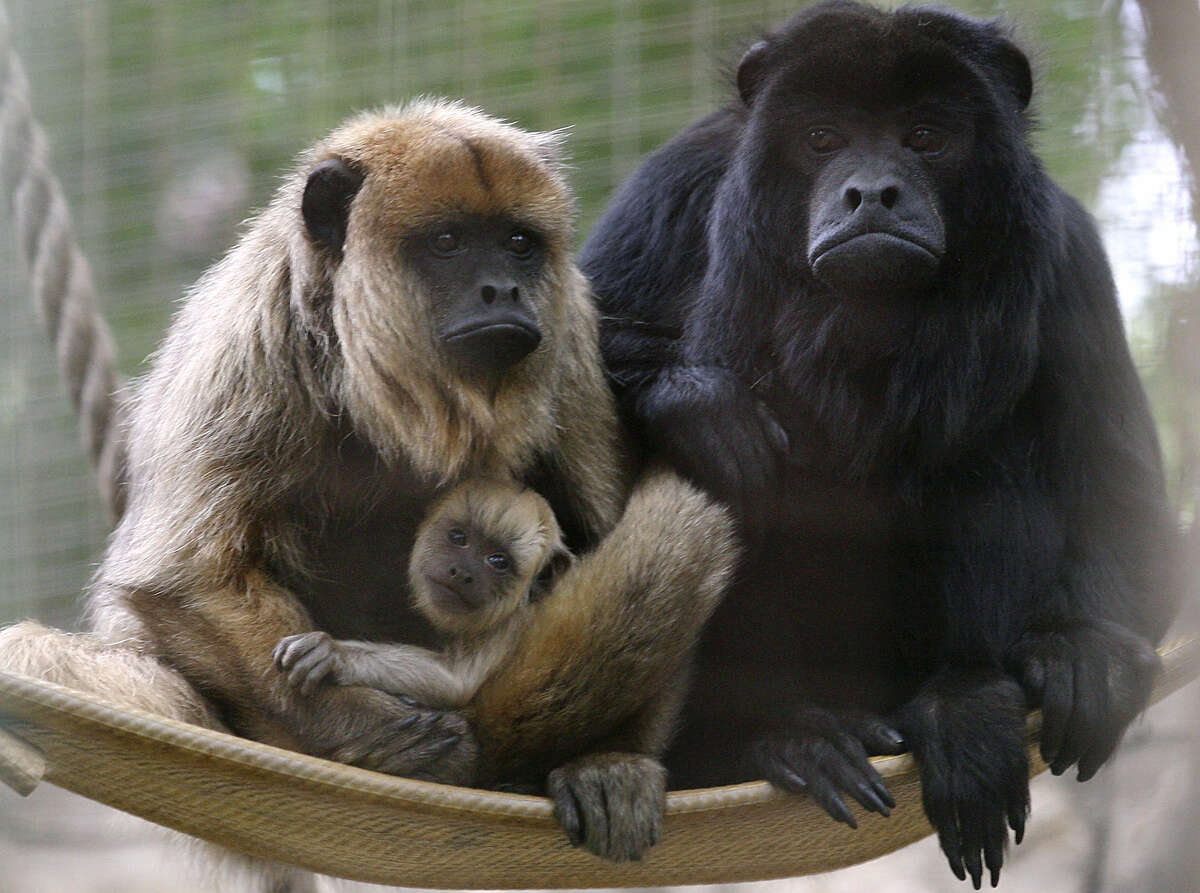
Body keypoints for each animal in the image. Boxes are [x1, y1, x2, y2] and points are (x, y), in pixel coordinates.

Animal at [274, 477, 571, 705]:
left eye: (498, 561)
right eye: (458, 537)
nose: (462, 573)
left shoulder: (512, 624)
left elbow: (455, 681)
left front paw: (335, 654)